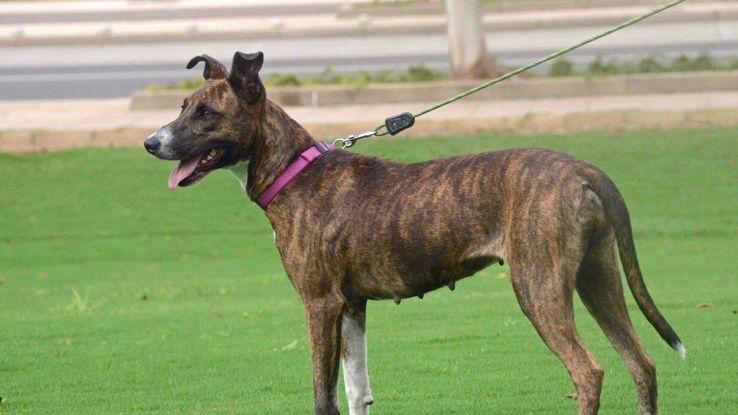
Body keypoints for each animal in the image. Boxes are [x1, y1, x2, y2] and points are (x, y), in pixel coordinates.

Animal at [145, 52, 684, 415]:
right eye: (183, 106)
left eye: (207, 114)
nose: (151, 142)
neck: (294, 172)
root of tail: (584, 170)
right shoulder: (351, 306)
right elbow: (357, 391)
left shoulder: (320, 304)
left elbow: (323, 396)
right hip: (598, 279)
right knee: (642, 364)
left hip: (539, 287)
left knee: (588, 372)